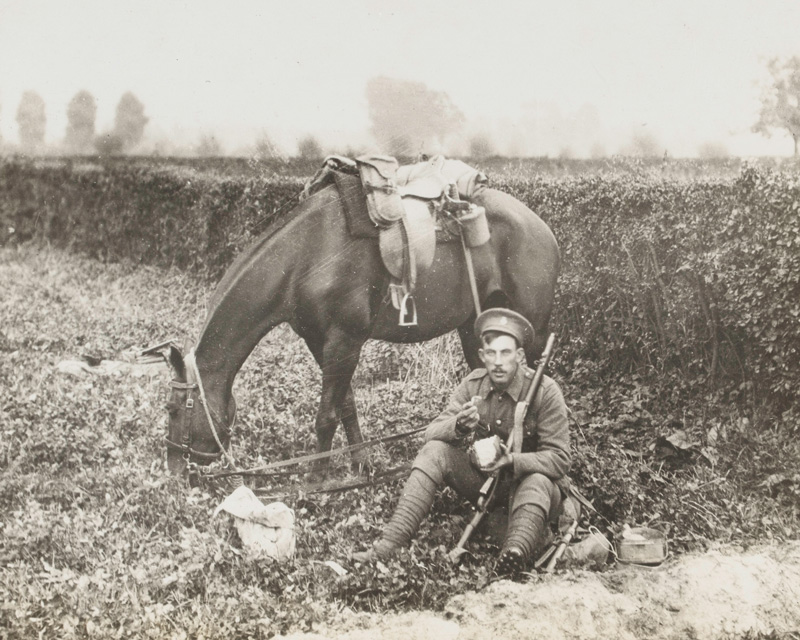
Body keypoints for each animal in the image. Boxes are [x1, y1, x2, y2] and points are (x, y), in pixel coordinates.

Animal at [166, 182, 560, 478]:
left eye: (172, 409)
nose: (174, 472)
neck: (307, 253)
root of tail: (545, 230)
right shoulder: (321, 341)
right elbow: (346, 405)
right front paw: (361, 464)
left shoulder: (345, 340)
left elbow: (326, 416)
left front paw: (316, 481)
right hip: (475, 329)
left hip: (532, 331)